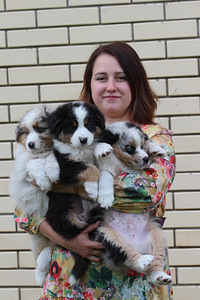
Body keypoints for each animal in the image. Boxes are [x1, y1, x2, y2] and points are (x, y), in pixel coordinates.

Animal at [9, 105, 59, 286]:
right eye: (25, 132)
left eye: (40, 129)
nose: (30, 144)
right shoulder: (24, 164)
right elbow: (35, 162)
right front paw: (44, 180)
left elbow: (52, 157)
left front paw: (52, 171)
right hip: (38, 234)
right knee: (41, 250)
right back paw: (39, 275)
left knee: (48, 249)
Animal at [93, 122, 173, 286]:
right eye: (130, 148)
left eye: (142, 146)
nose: (146, 158)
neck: (123, 164)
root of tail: (138, 246)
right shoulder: (104, 169)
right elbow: (105, 177)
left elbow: (150, 142)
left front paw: (157, 149)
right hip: (108, 237)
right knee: (128, 255)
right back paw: (142, 260)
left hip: (157, 235)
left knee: (153, 266)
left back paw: (160, 276)